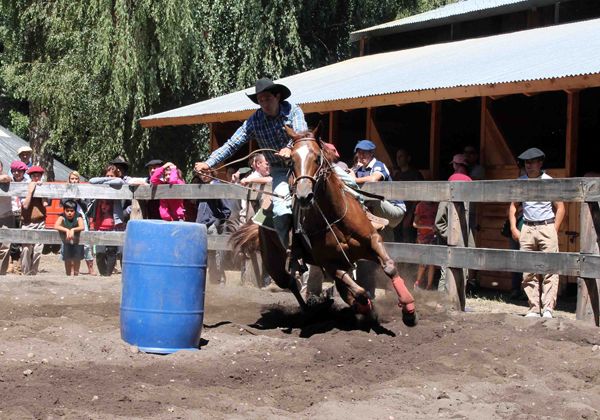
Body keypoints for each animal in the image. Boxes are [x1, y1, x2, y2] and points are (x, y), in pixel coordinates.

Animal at [230, 127, 418, 324]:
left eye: (317, 157)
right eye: (292, 160)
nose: (304, 195)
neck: (335, 217)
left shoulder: (372, 241)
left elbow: (388, 267)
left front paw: (408, 309)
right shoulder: (329, 263)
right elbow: (360, 291)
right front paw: (367, 308)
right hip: (274, 263)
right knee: (290, 282)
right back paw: (313, 310)